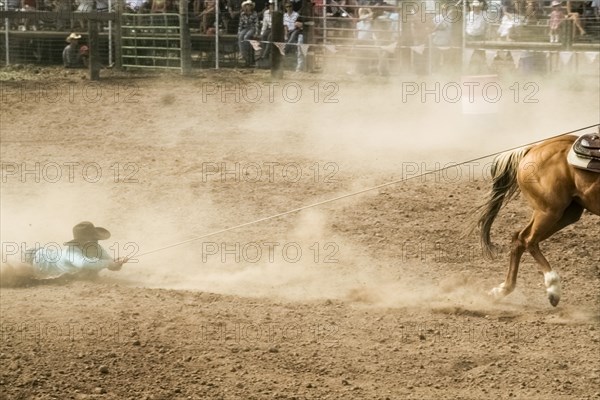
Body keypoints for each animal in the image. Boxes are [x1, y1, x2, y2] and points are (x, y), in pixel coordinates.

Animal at [476, 134, 596, 306]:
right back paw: (553, 288)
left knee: (519, 238)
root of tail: (532, 149)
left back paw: (502, 290)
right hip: (549, 211)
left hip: (565, 213)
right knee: (528, 240)